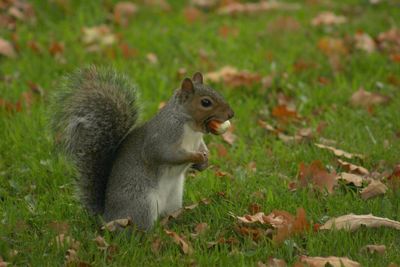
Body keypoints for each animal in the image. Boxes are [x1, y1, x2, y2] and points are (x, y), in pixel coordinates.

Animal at [53, 66, 234, 231]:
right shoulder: (163, 138)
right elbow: (166, 154)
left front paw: (205, 161)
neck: (190, 126)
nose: (231, 114)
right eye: (205, 102)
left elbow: (203, 147)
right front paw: (196, 157)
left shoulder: (198, 141)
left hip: (174, 198)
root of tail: (108, 218)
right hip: (142, 204)